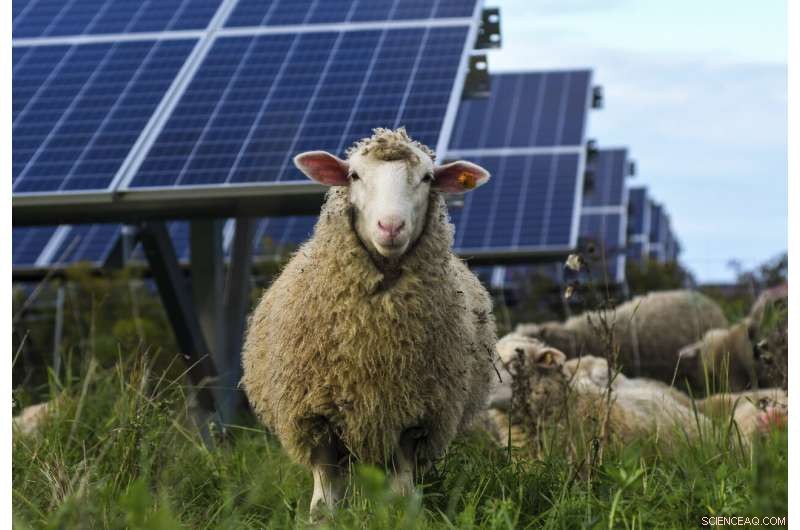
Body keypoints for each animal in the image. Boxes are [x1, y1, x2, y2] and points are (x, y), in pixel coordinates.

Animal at [241, 128, 497, 519]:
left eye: (427, 178)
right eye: (354, 175)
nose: (390, 226)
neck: (373, 340)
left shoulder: (413, 418)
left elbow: (404, 495)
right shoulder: (316, 418)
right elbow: (323, 503)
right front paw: (322, 520)